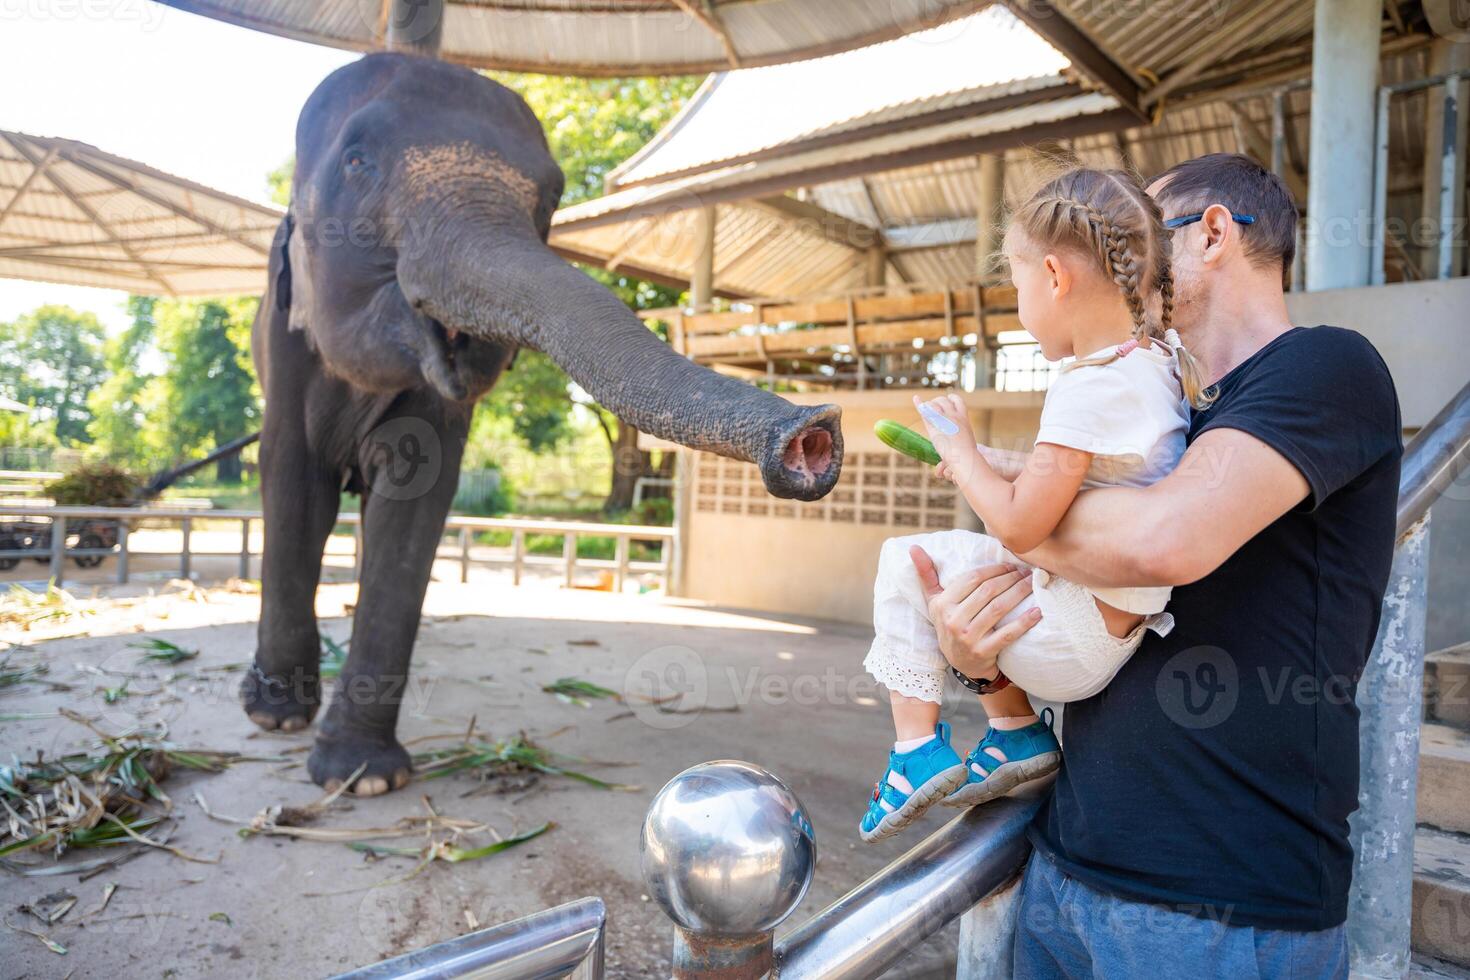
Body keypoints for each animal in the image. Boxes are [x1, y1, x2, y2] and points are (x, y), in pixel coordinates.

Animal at [238, 51, 840, 799]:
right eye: (356, 161)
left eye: (552, 197)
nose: (813, 432)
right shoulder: (285, 350)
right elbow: (293, 483)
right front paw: (280, 722)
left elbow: (414, 505)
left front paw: (363, 776)